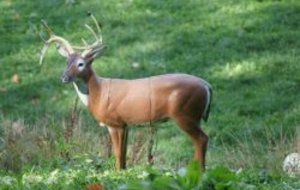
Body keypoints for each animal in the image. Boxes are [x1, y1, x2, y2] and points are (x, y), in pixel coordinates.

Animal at [39, 14, 213, 171]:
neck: (98, 94)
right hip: (192, 116)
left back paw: (200, 171)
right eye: (66, 62)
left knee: (202, 139)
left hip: (185, 114)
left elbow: (117, 154)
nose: (64, 77)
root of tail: (207, 85)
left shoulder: (115, 122)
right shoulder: (126, 124)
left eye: (81, 64)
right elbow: (123, 155)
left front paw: (116, 174)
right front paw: (123, 173)